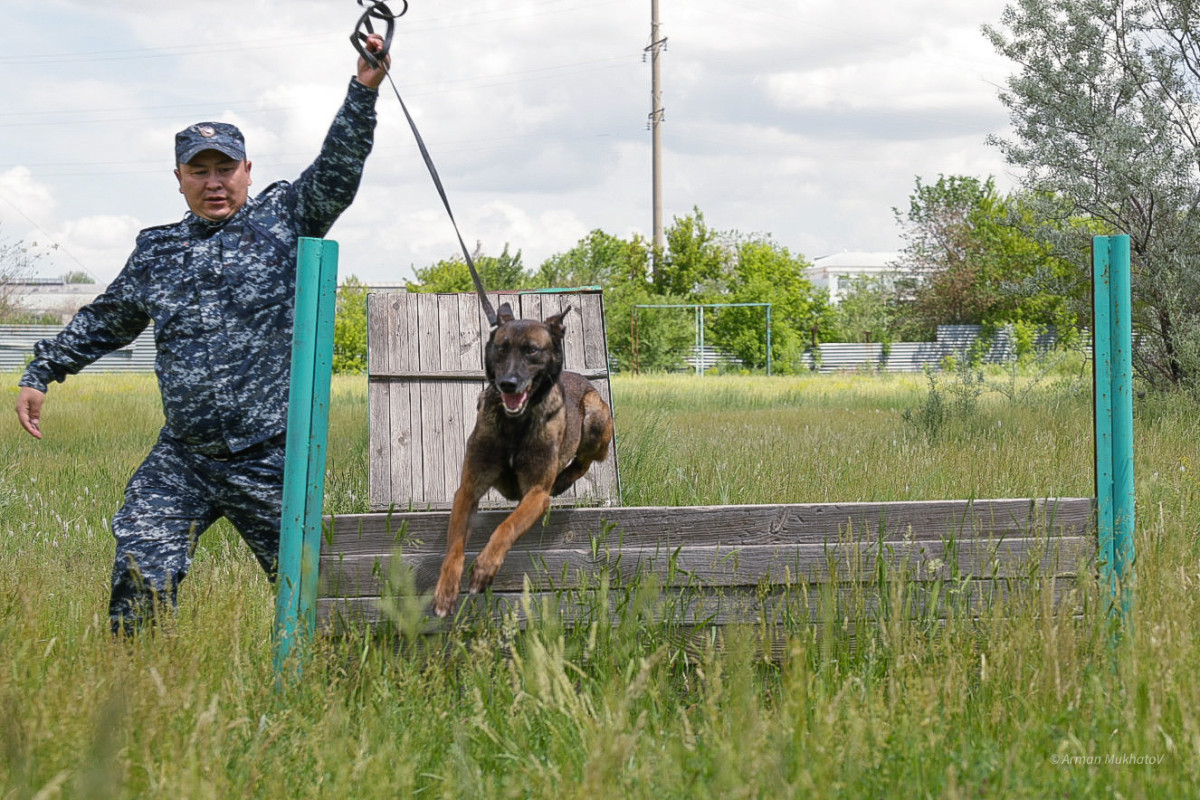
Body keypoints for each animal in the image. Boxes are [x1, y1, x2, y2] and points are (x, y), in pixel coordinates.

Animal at [434, 302, 614, 618]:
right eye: (501, 348)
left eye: (531, 350)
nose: (508, 384)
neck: (514, 424)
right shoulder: (467, 491)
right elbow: (454, 545)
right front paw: (446, 590)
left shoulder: (537, 495)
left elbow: (507, 526)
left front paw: (485, 568)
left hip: (595, 418)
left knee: (585, 461)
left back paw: (563, 479)